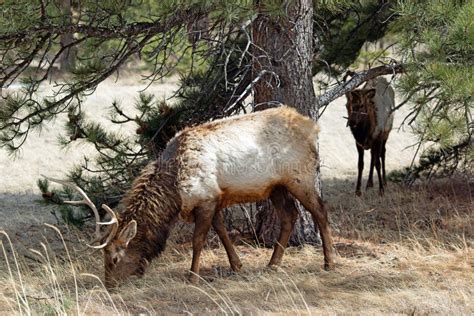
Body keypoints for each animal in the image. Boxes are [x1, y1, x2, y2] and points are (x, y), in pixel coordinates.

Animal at [44, 107, 334, 288]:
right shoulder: (215, 199)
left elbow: (198, 241)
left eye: (114, 258)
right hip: (276, 187)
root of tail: (313, 127)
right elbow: (223, 232)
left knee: (320, 210)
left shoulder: (205, 199)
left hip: (301, 177)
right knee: (290, 215)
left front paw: (193, 276)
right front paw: (237, 266)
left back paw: (329, 262)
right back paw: (272, 264)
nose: (109, 286)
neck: (174, 191)